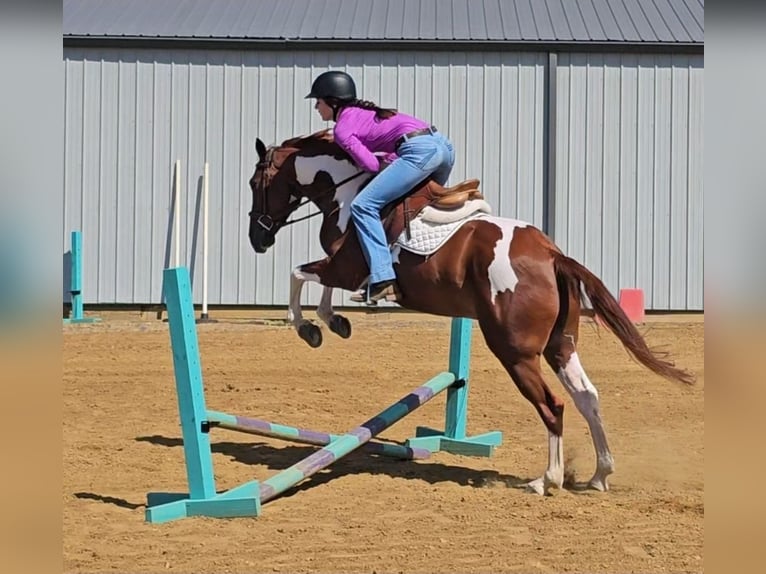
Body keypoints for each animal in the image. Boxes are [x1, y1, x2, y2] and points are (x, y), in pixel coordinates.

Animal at [247, 129, 694, 495]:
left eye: (254, 183)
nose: (257, 239)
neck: (348, 191)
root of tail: (551, 255)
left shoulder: (344, 267)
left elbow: (299, 275)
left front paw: (309, 327)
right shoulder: (343, 269)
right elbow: (318, 284)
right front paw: (335, 322)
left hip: (515, 352)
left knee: (553, 404)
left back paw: (546, 480)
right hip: (560, 345)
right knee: (587, 397)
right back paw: (600, 474)